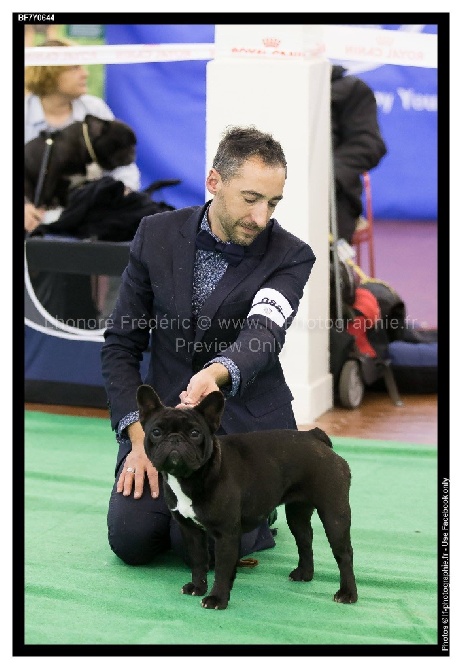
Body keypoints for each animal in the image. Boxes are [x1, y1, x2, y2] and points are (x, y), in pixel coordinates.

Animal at [136, 386, 358, 612]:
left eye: (194, 433)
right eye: (156, 432)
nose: (175, 439)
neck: (189, 477)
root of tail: (315, 437)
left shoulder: (226, 534)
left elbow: (222, 569)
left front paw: (217, 599)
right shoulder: (191, 531)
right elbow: (198, 560)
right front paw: (197, 587)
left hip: (334, 514)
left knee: (344, 553)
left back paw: (347, 593)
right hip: (297, 513)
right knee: (305, 539)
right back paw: (304, 574)